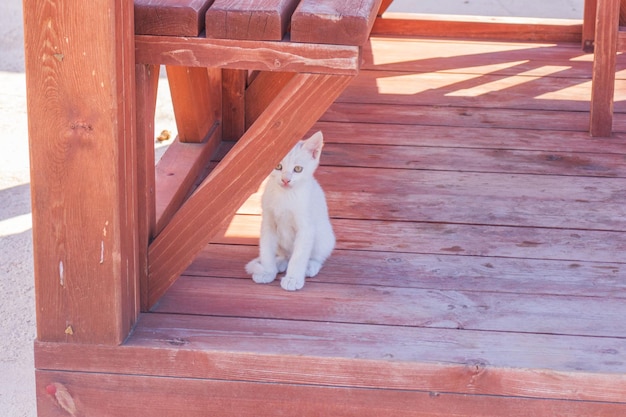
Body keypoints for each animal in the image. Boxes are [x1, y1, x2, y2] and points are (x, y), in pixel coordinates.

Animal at [244, 130, 334, 290]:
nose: (286, 180)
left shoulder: (306, 228)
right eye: (278, 166)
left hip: (323, 235)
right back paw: (279, 263)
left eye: (298, 169)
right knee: (286, 255)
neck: (285, 196)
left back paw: (310, 266)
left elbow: (299, 256)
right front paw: (267, 271)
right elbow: (266, 249)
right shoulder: (268, 224)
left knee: (317, 255)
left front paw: (293, 279)